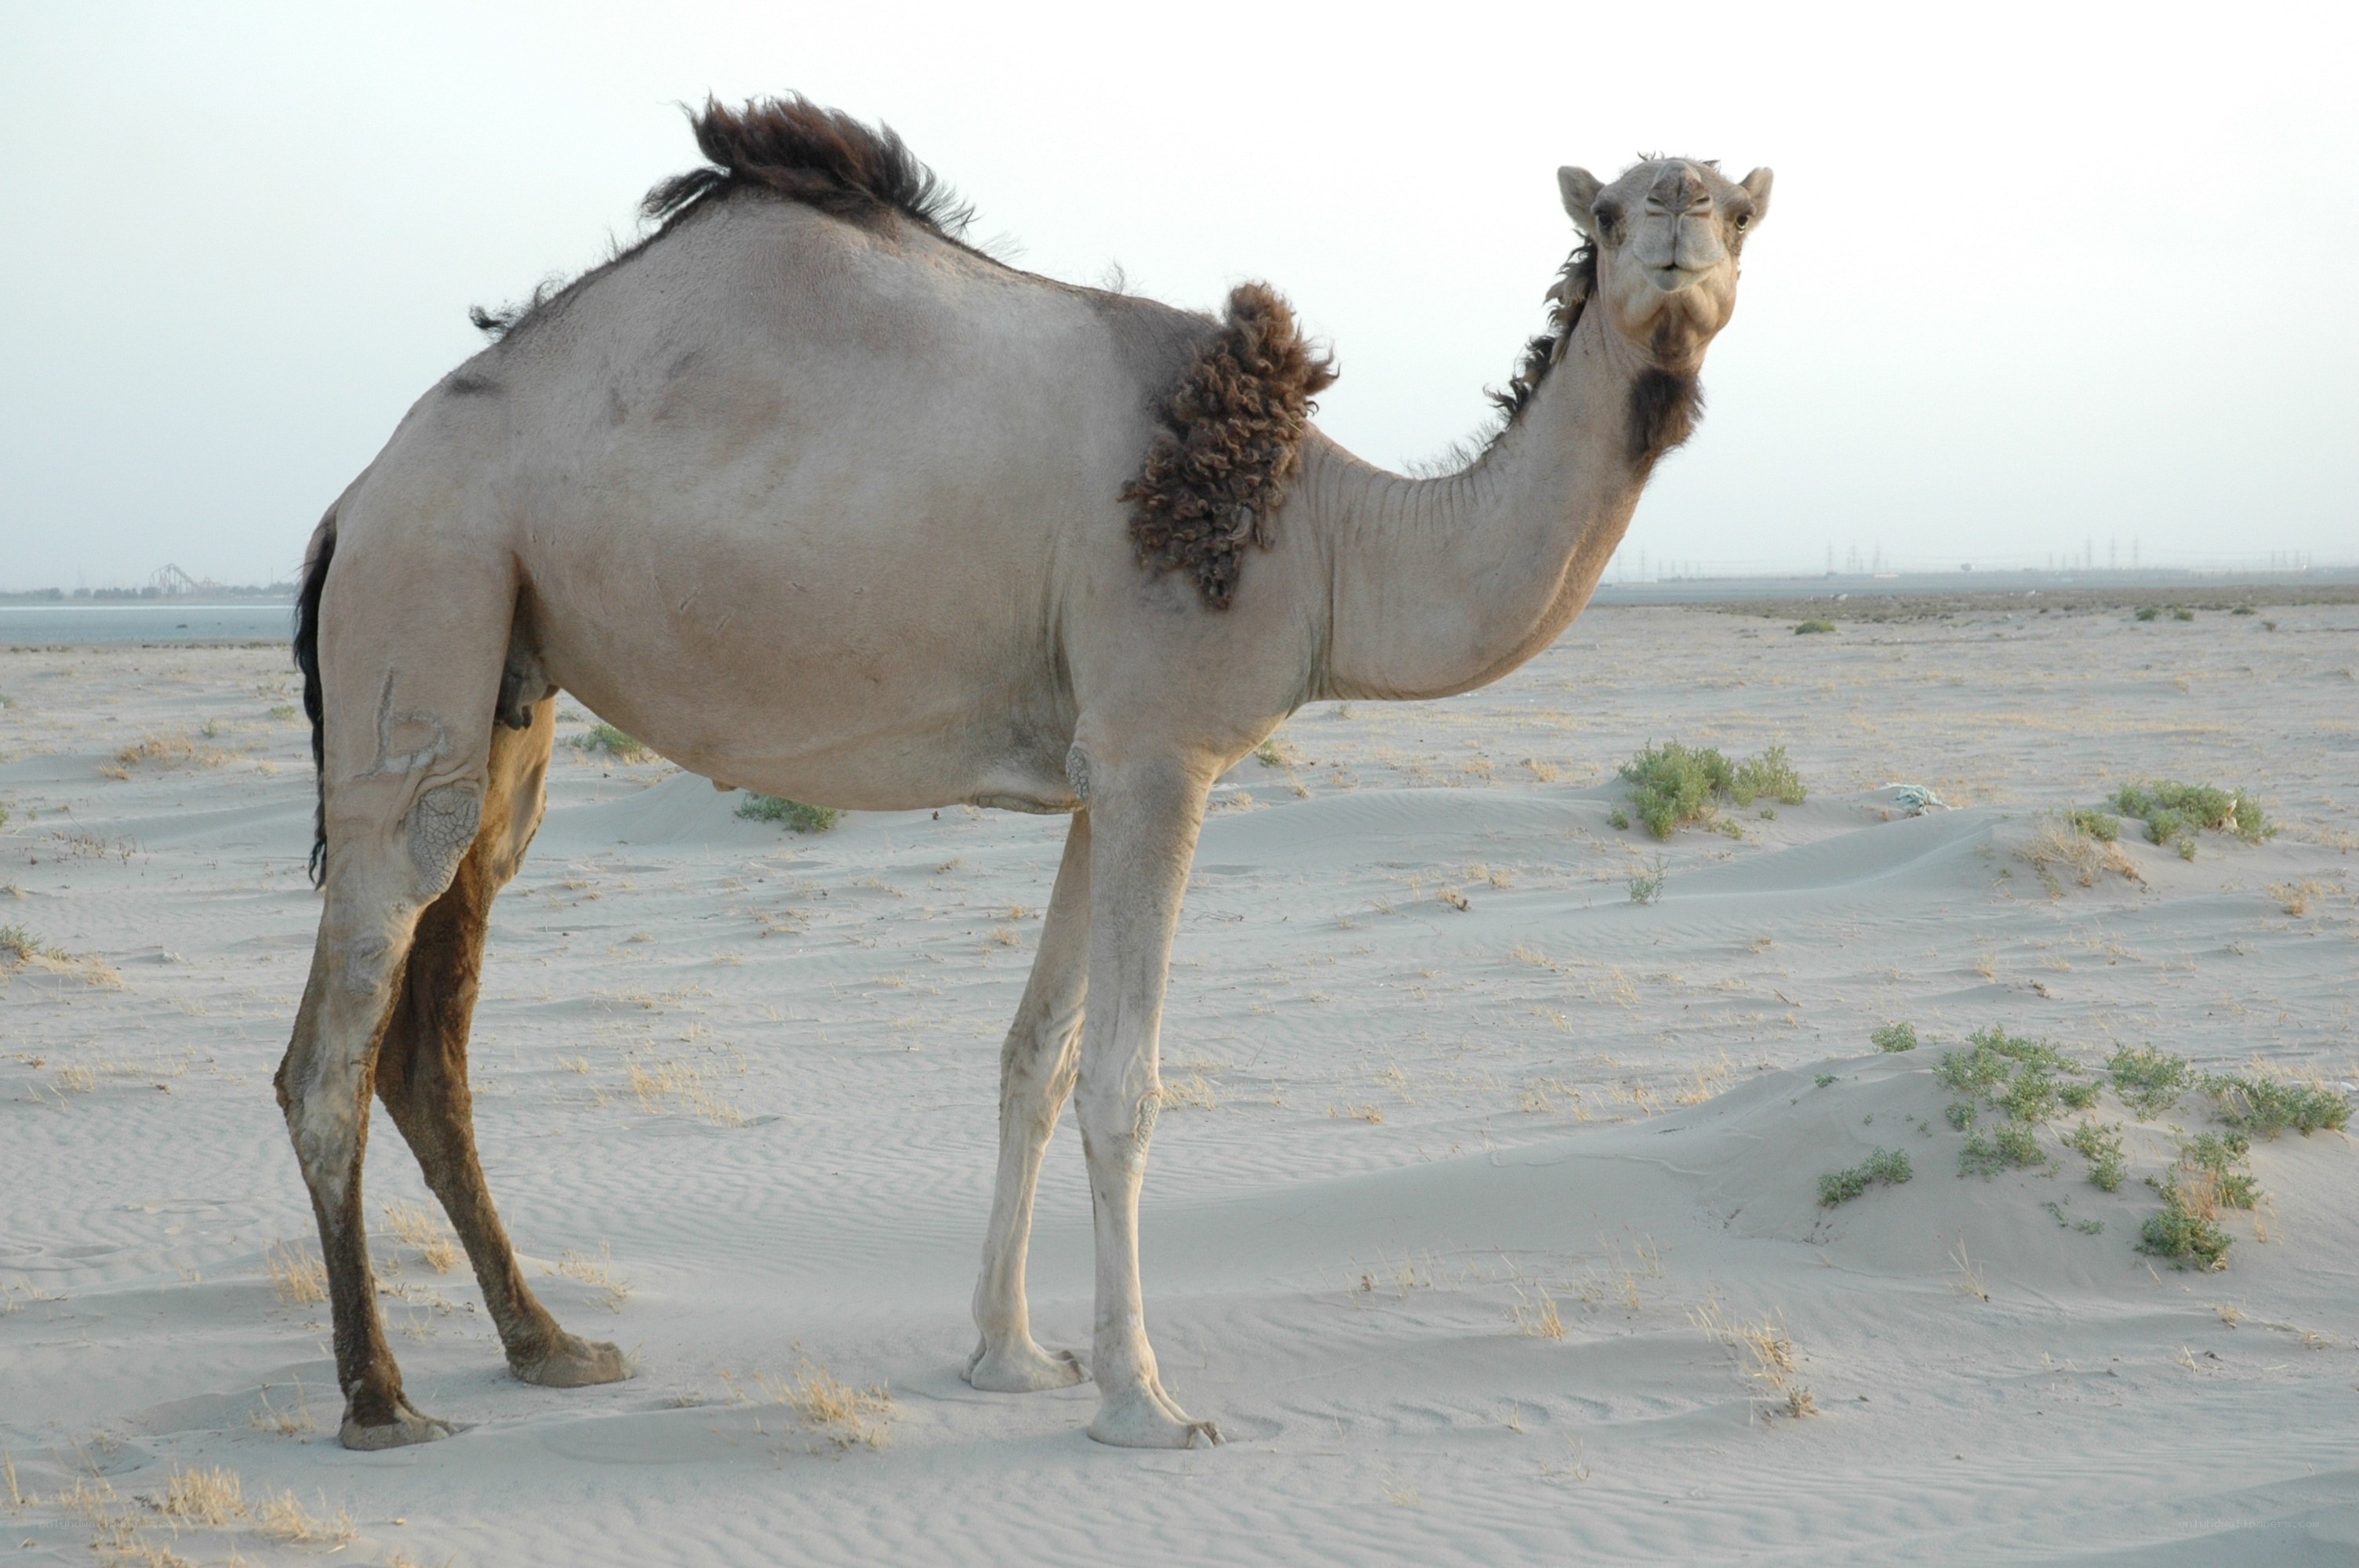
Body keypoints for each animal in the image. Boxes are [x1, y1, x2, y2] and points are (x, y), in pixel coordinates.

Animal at [279, 95, 1770, 1451]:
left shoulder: (1097, 775)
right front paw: (1143, 1400)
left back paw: (551, 1347)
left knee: (432, 1035)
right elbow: (1123, 1083)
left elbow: (1032, 1061)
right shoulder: (1163, 753)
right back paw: (379, 1400)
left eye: (1740, 211)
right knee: (331, 1051)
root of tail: (350, 502)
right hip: (425, 599)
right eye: (1607, 211)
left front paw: (1009, 1354)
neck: (1323, 534)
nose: (1679, 226)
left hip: (507, 683)